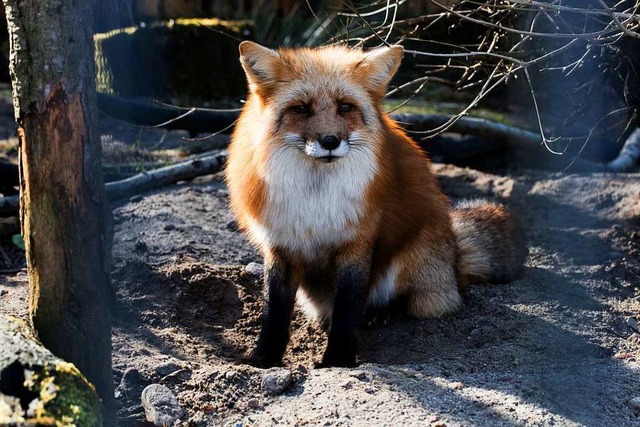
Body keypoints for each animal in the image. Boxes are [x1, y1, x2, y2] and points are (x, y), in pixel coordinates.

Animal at [224, 41, 524, 368]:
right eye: (301, 108)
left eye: (345, 107)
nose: (330, 141)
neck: (316, 196)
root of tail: (455, 261)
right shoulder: (281, 245)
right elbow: (274, 311)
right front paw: (263, 359)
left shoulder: (357, 243)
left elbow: (347, 309)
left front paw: (338, 361)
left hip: (416, 266)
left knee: (412, 303)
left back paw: (383, 312)